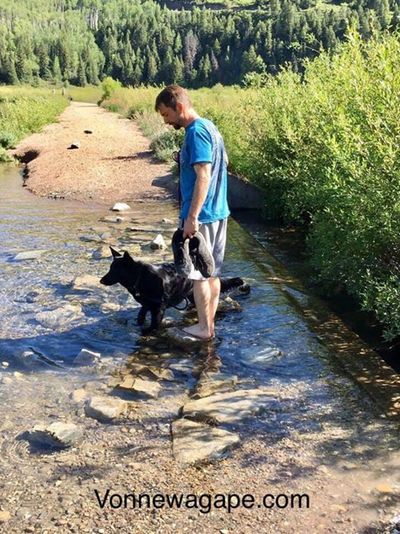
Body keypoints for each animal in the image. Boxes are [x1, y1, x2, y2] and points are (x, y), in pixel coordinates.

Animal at [100, 248, 247, 336]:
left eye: (115, 270)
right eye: (110, 268)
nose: (101, 280)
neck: (140, 277)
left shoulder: (158, 307)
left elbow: (154, 324)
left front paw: (148, 331)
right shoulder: (147, 305)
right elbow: (140, 316)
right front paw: (138, 325)